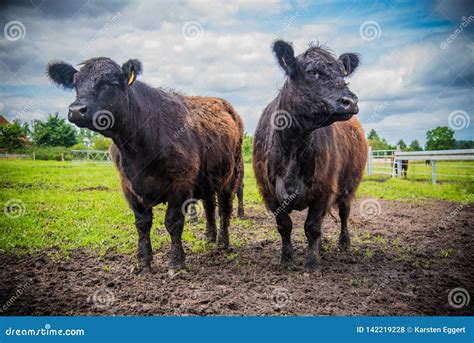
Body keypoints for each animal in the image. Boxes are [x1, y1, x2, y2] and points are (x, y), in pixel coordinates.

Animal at [47, 57, 244, 276]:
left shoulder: (181, 183)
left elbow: (173, 222)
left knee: (224, 209)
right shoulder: (128, 186)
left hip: (231, 176)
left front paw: (176, 263)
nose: (76, 110)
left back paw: (223, 244)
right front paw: (143, 263)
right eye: (76, 83)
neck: (138, 148)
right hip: (207, 180)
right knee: (210, 206)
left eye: (110, 83)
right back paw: (209, 238)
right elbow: (142, 224)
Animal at [254, 39, 368, 274]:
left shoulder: (324, 189)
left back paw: (343, 243)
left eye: (342, 74)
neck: (292, 146)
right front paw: (287, 259)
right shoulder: (268, 192)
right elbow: (284, 225)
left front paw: (312, 263)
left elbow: (312, 227)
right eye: (312, 72)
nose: (350, 101)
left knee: (344, 211)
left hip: (349, 184)